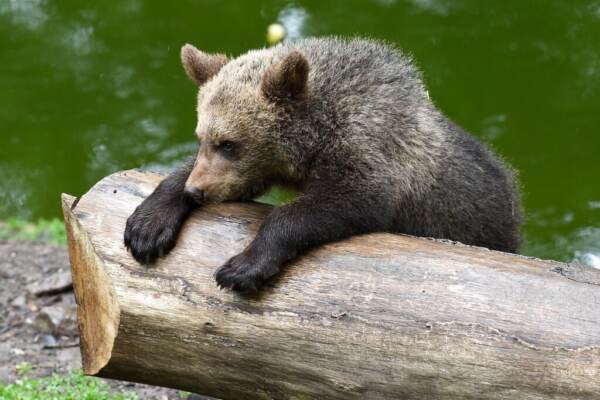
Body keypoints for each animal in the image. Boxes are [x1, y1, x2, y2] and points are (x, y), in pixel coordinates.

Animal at [124, 37, 524, 292]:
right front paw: (147, 225)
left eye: (229, 143)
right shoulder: (263, 167)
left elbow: (338, 203)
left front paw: (243, 267)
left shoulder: (372, 152)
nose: (198, 190)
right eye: (202, 138)